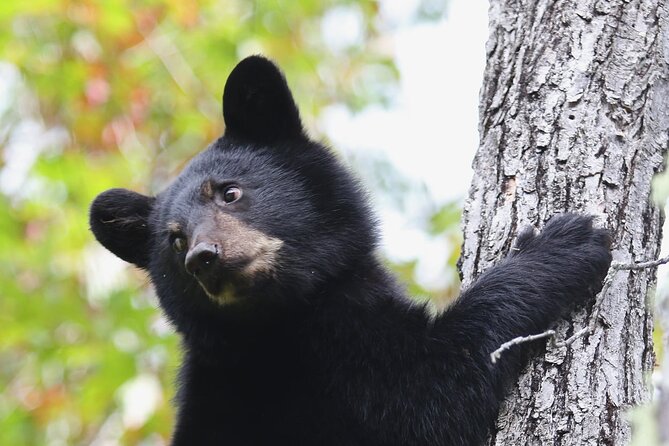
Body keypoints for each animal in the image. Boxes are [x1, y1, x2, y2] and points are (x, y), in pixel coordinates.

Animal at [89, 55, 612, 445]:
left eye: (229, 192)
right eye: (174, 239)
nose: (203, 258)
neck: (285, 315)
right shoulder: (338, 368)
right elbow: (434, 391)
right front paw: (566, 241)